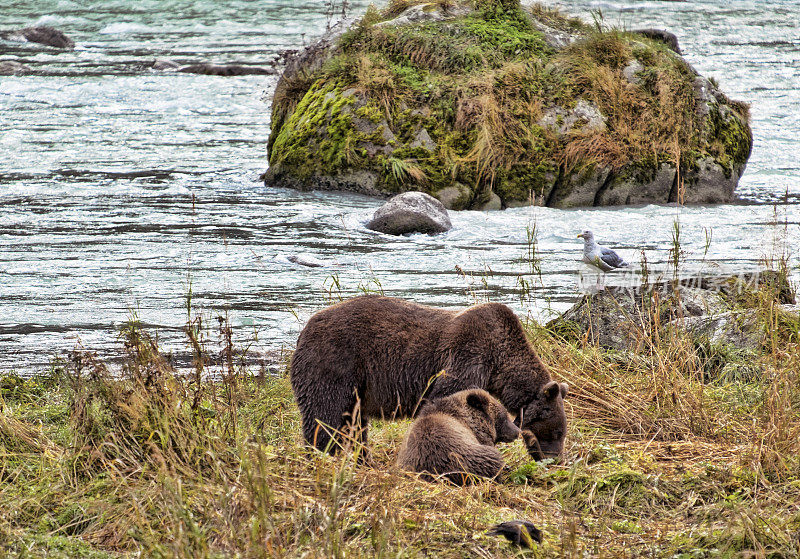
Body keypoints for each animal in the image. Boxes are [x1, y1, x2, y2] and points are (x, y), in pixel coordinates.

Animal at [290, 294, 568, 460]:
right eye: (556, 433)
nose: (554, 460)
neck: (500, 363)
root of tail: (305, 329)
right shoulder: (468, 357)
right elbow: (447, 396)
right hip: (335, 363)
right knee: (325, 415)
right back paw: (322, 455)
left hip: (356, 386)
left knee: (354, 423)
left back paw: (362, 459)